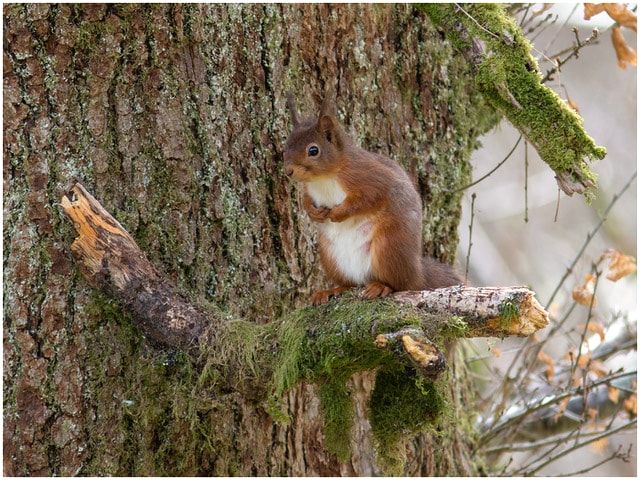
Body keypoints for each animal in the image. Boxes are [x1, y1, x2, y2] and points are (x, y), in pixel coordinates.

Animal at [283, 96, 462, 305]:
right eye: (286, 146)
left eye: (313, 150)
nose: (288, 171)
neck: (324, 178)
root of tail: (417, 273)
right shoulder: (309, 190)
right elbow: (305, 200)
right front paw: (314, 213)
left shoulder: (369, 177)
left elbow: (368, 198)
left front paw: (338, 213)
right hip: (330, 257)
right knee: (350, 283)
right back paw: (331, 290)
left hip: (388, 247)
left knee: (400, 284)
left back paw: (381, 286)